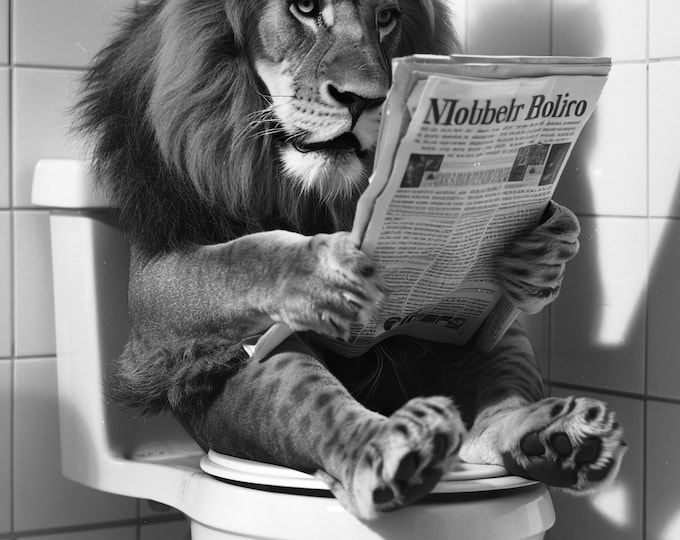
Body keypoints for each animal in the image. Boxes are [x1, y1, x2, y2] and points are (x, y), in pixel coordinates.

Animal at [75, 0, 626, 519]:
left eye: (386, 17)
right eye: (304, 8)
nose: (366, 100)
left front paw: (545, 247)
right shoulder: (156, 282)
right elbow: (244, 255)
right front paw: (322, 269)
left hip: (459, 326)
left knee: (489, 395)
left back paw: (555, 438)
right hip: (225, 364)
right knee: (306, 391)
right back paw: (396, 452)